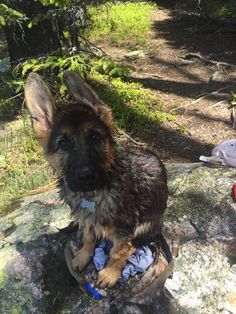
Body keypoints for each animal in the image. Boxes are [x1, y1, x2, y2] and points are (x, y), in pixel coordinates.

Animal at [24, 70, 168, 288]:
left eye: (95, 137)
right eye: (63, 143)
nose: (87, 176)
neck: (92, 195)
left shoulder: (126, 228)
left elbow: (118, 252)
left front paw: (110, 273)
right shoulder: (87, 220)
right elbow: (89, 237)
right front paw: (84, 256)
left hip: (146, 224)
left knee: (132, 246)